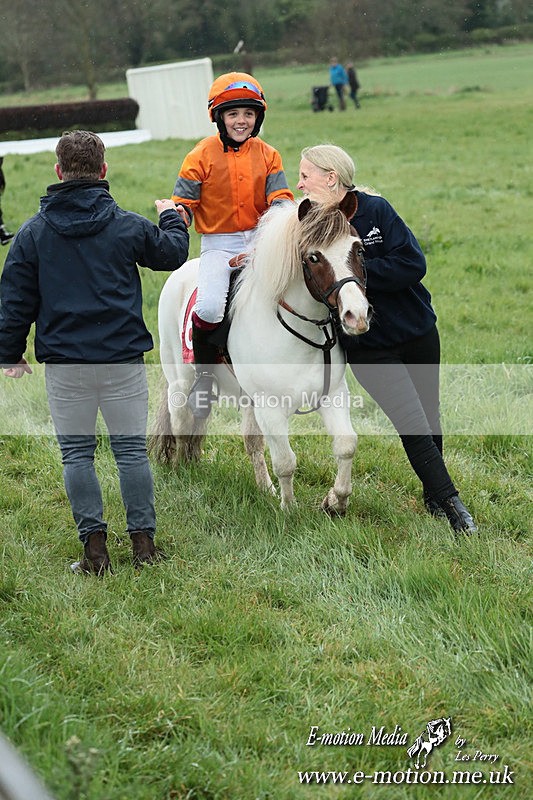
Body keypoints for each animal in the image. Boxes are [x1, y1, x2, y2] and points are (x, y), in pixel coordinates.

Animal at [151, 193, 371, 512]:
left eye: (358, 249)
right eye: (314, 257)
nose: (357, 315)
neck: (297, 333)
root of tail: (180, 273)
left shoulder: (333, 394)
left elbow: (346, 444)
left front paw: (336, 501)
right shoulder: (271, 408)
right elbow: (286, 461)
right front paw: (289, 509)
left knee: (248, 441)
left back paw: (264, 487)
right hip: (180, 380)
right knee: (181, 423)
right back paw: (182, 470)